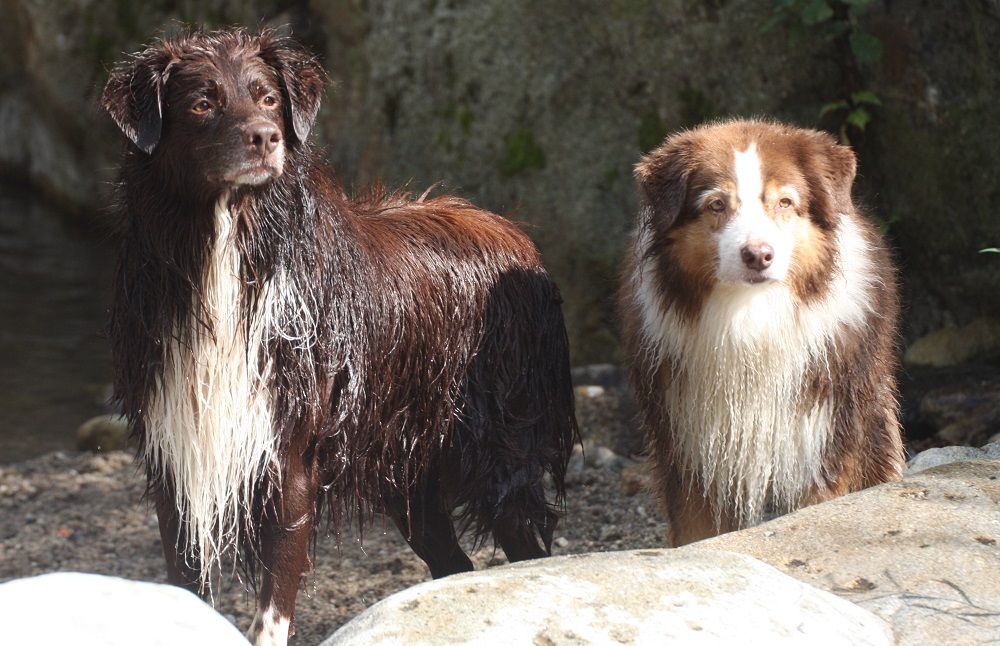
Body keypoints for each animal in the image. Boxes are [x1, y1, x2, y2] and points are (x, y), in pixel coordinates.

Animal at [616, 120, 908, 548]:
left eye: (784, 203)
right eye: (716, 205)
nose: (758, 255)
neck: (750, 317)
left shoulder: (822, 433)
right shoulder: (688, 441)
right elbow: (695, 528)